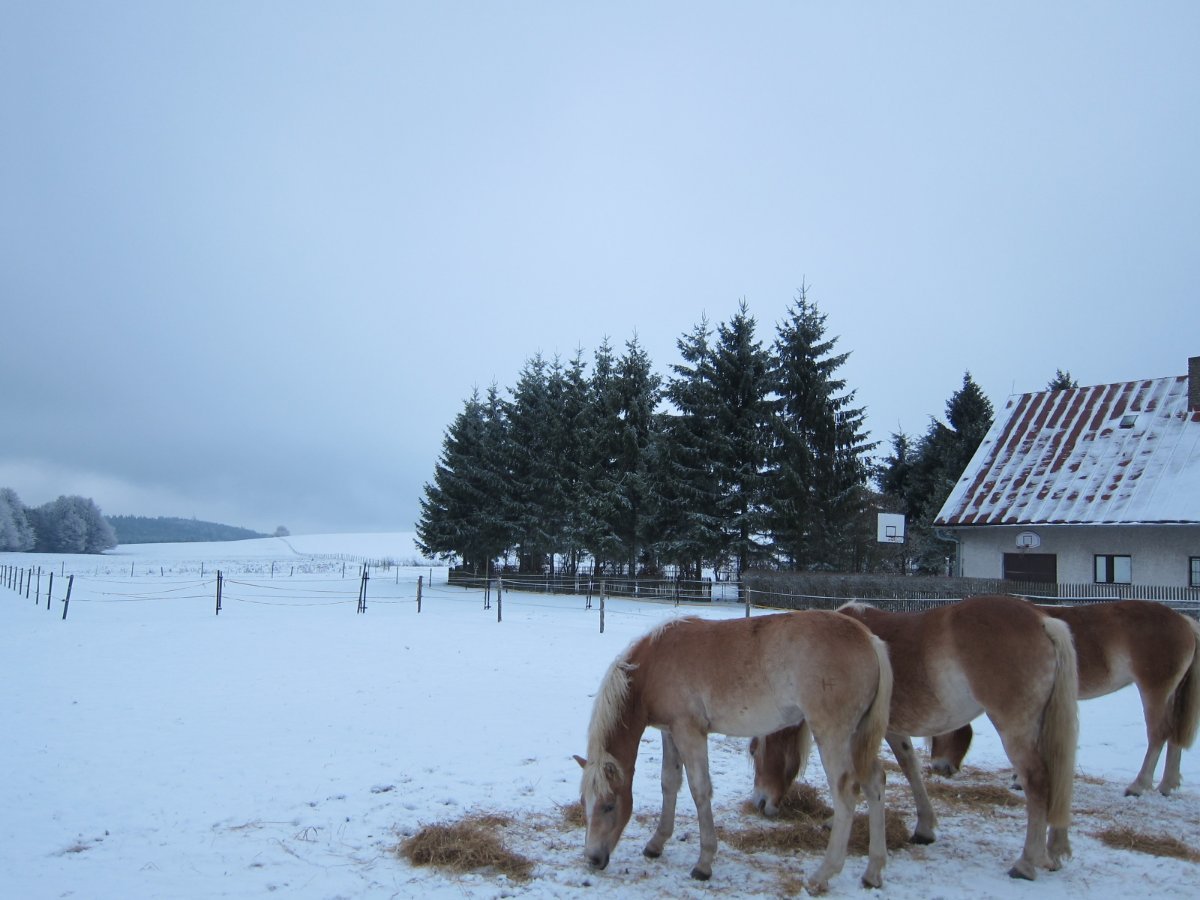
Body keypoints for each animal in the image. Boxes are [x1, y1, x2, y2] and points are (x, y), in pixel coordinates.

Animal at [575, 611, 893, 893]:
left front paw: (703, 864)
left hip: (833, 736)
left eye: (608, 805)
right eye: (584, 804)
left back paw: (822, 875)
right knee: (875, 782)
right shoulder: (669, 731)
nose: (593, 859)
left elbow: (699, 790)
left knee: (846, 792)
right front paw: (656, 844)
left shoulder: (689, 732)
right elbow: (670, 783)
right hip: (858, 737)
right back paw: (873, 872)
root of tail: (869, 639)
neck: (653, 665)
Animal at [750, 595, 1078, 881]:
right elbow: (910, 767)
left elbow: (872, 776)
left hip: (1015, 728)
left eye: (754, 751)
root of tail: (1043, 621)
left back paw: (1026, 862)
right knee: (1059, 771)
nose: (760, 802)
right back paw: (1053, 852)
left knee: (1037, 780)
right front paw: (925, 827)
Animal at [929, 599, 1200, 796]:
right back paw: (1167, 785)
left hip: (1154, 690)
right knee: (1173, 733)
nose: (939, 768)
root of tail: (1184, 621)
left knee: (1158, 734)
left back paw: (1138, 785)